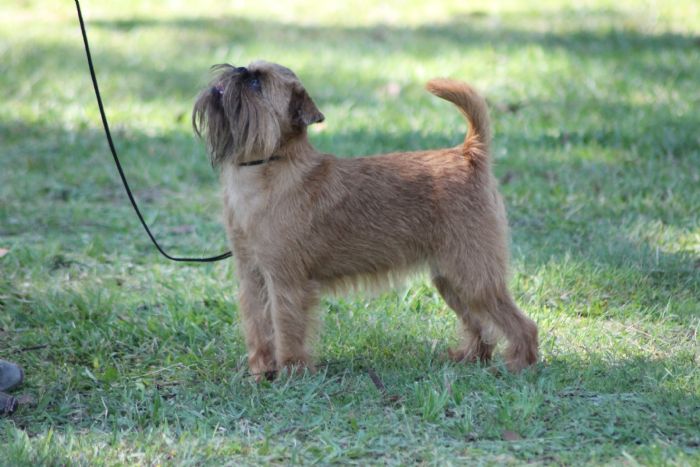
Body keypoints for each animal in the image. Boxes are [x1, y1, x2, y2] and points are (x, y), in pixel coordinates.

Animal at [191, 60, 536, 378]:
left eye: (256, 83)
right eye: (246, 70)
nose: (235, 70)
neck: (266, 167)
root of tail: (469, 153)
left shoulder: (285, 281)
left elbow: (286, 329)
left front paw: (291, 373)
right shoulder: (252, 278)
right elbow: (258, 328)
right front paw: (261, 372)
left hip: (473, 275)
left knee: (521, 323)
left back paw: (522, 364)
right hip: (451, 277)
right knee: (478, 322)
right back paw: (471, 357)